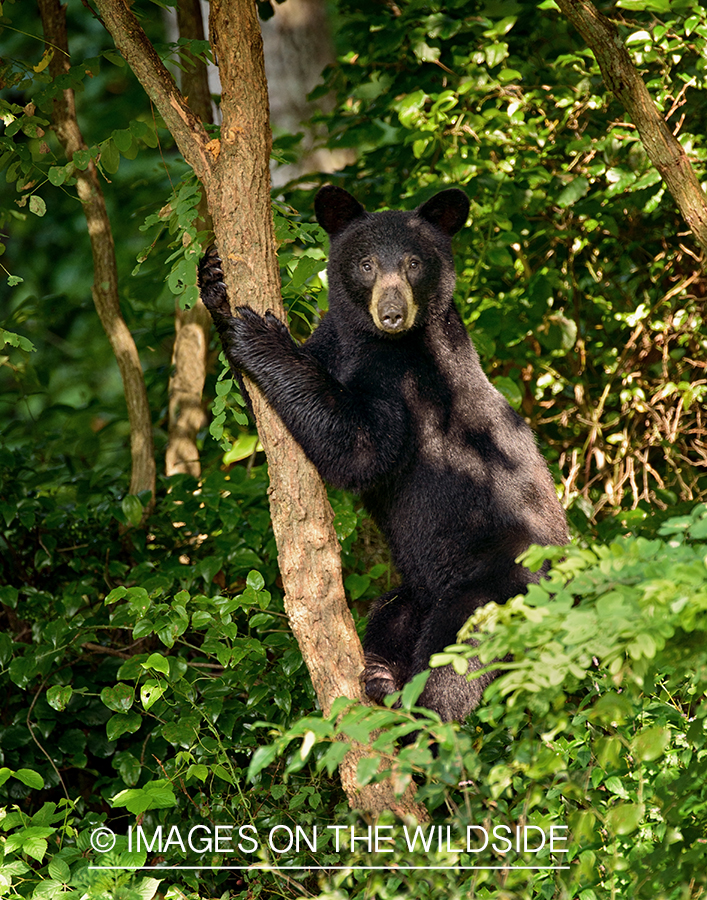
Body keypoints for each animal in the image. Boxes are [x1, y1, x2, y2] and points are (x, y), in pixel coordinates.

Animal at [199, 186, 568, 720]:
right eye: (366, 263)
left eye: (414, 263)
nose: (392, 314)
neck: (370, 343)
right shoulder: (334, 343)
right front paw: (216, 281)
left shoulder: (411, 384)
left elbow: (361, 448)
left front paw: (260, 335)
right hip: (416, 588)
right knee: (391, 612)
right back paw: (379, 673)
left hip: (499, 582)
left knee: (454, 662)